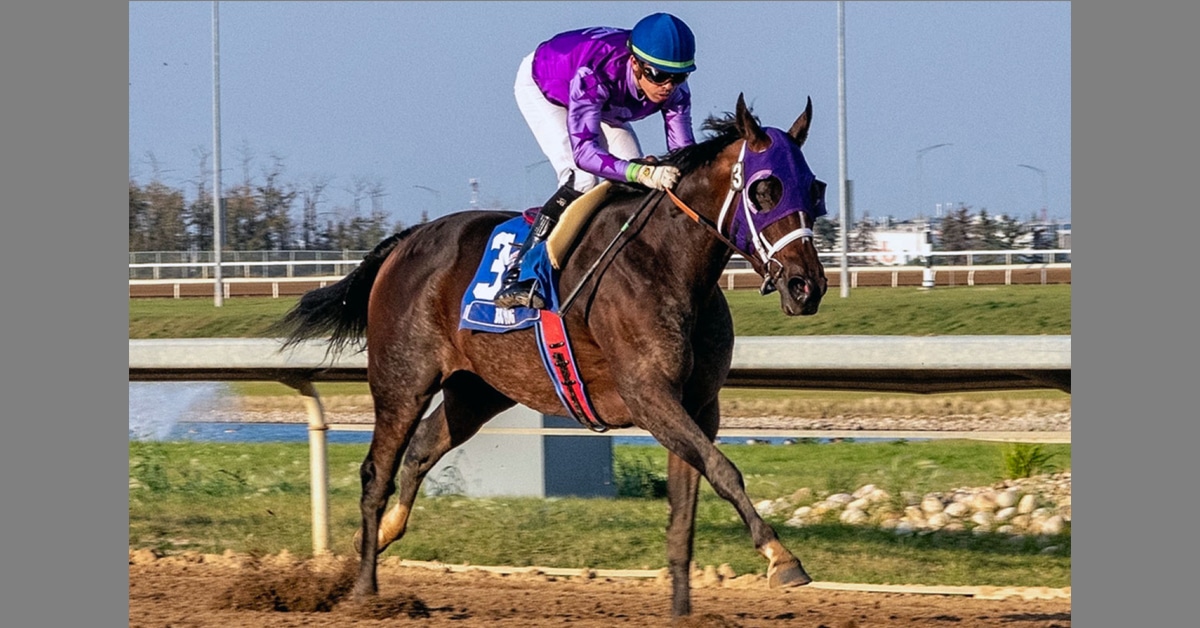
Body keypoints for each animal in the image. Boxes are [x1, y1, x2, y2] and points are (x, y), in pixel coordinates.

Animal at [271, 93, 829, 619]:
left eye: (815, 190)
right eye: (764, 189)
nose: (808, 286)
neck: (667, 262)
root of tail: (405, 242)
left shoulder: (699, 405)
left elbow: (689, 501)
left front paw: (682, 611)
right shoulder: (649, 395)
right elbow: (725, 470)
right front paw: (782, 558)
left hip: (478, 389)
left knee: (422, 449)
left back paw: (383, 534)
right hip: (402, 381)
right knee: (376, 472)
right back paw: (365, 590)